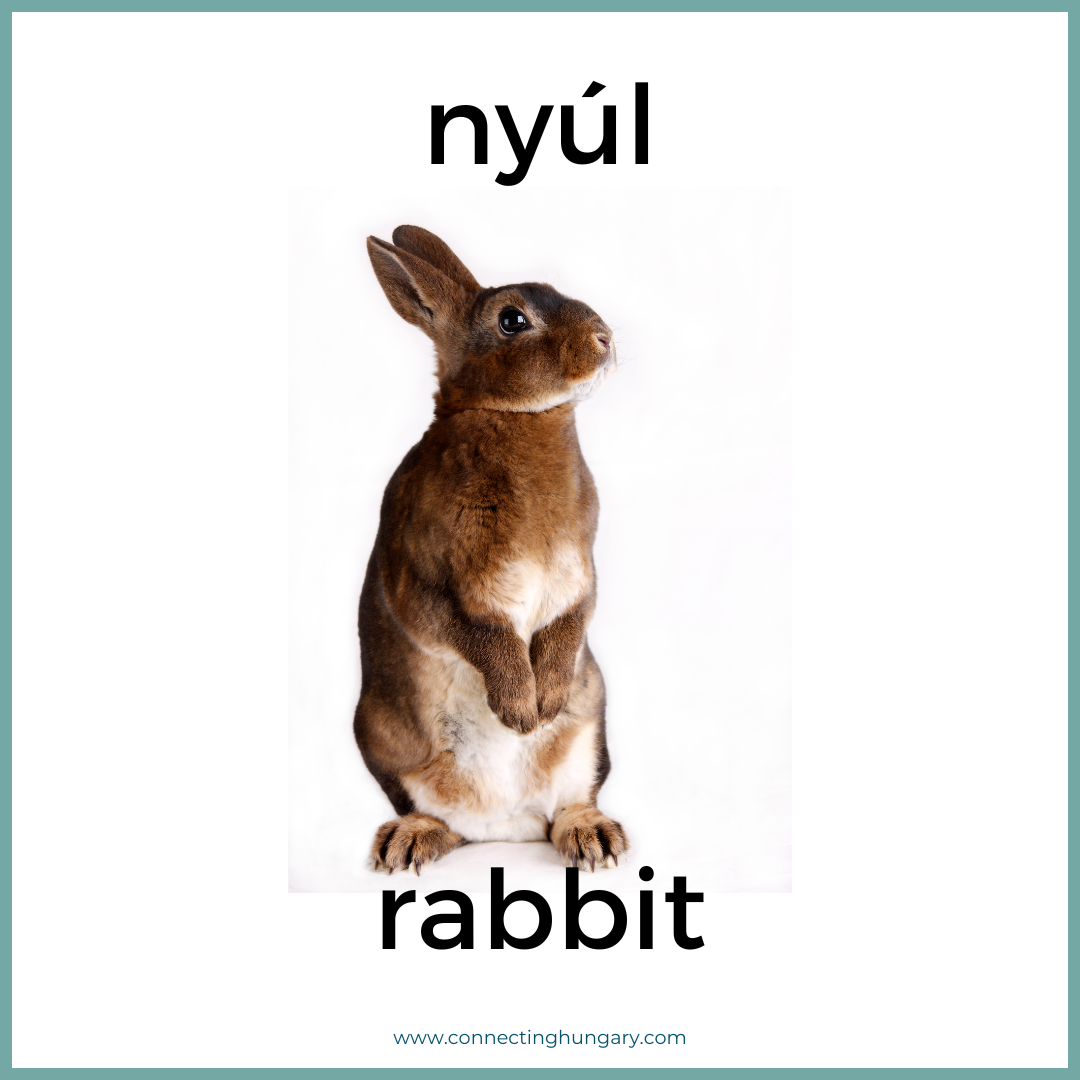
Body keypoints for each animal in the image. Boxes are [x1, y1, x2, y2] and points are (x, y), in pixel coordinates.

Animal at [354, 225, 627, 875]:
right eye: (511, 320)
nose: (606, 339)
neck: (514, 418)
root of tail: (507, 827)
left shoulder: (580, 572)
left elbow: (573, 618)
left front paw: (542, 703)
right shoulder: (428, 581)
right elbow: (479, 633)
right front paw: (520, 710)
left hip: (591, 728)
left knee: (571, 804)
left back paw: (594, 838)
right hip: (382, 740)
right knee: (434, 814)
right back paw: (407, 842)